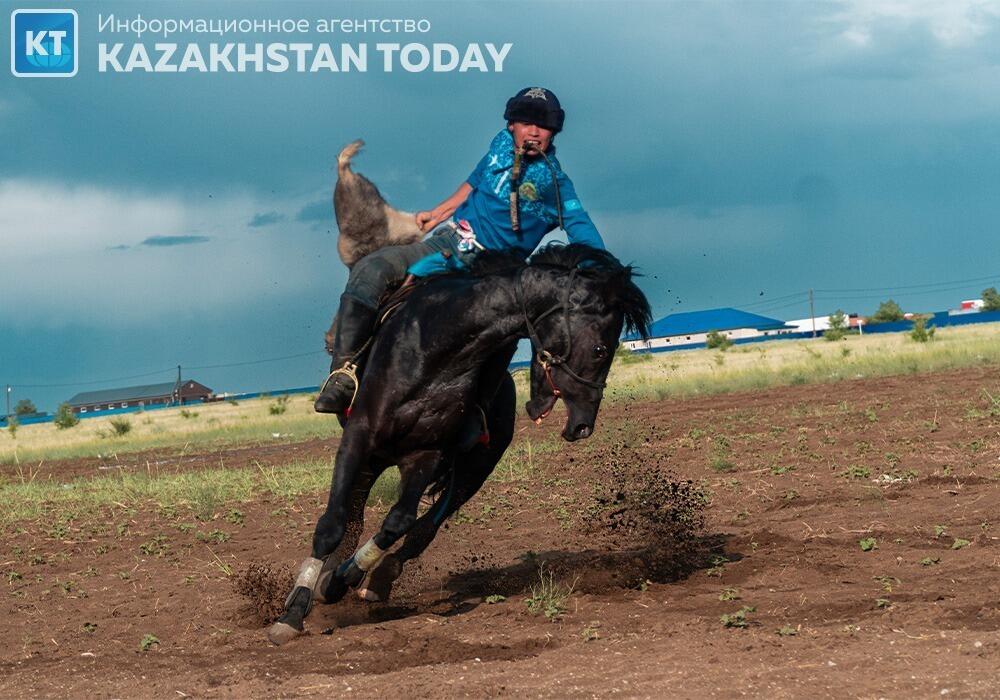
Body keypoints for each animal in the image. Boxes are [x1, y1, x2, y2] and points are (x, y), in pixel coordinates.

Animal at [268, 243, 651, 645]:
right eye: (599, 349)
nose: (583, 425)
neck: (438, 350)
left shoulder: (427, 454)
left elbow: (398, 522)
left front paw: (342, 579)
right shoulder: (359, 437)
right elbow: (332, 525)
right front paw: (293, 612)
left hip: (471, 473)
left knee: (423, 528)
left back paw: (376, 577)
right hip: (375, 457)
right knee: (354, 517)